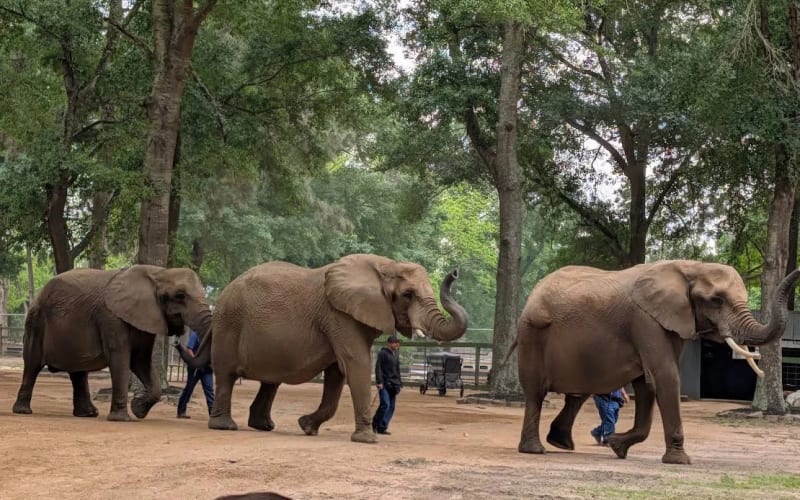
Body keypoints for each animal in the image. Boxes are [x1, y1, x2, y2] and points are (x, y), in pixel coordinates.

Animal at [12, 265, 212, 421]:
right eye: (180, 295)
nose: (177, 343)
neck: (158, 272)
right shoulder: (111, 317)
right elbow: (120, 356)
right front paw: (122, 418)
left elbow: (140, 360)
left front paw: (138, 408)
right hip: (36, 321)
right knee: (32, 365)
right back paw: (23, 411)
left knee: (78, 371)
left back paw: (88, 414)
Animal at [178, 253, 468, 443]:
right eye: (408, 295)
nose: (455, 272)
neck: (384, 264)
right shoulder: (338, 315)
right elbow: (355, 363)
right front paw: (367, 440)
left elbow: (337, 373)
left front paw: (306, 427)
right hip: (230, 323)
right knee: (226, 375)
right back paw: (225, 427)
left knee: (271, 381)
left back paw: (263, 426)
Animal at [511, 260, 799, 464]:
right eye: (716, 300)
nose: (797, 269)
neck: (690, 267)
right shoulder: (646, 320)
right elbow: (664, 375)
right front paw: (680, 461)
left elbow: (647, 382)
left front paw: (617, 446)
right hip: (532, 333)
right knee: (536, 393)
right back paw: (535, 450)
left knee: (579, 393)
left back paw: (561, 443)